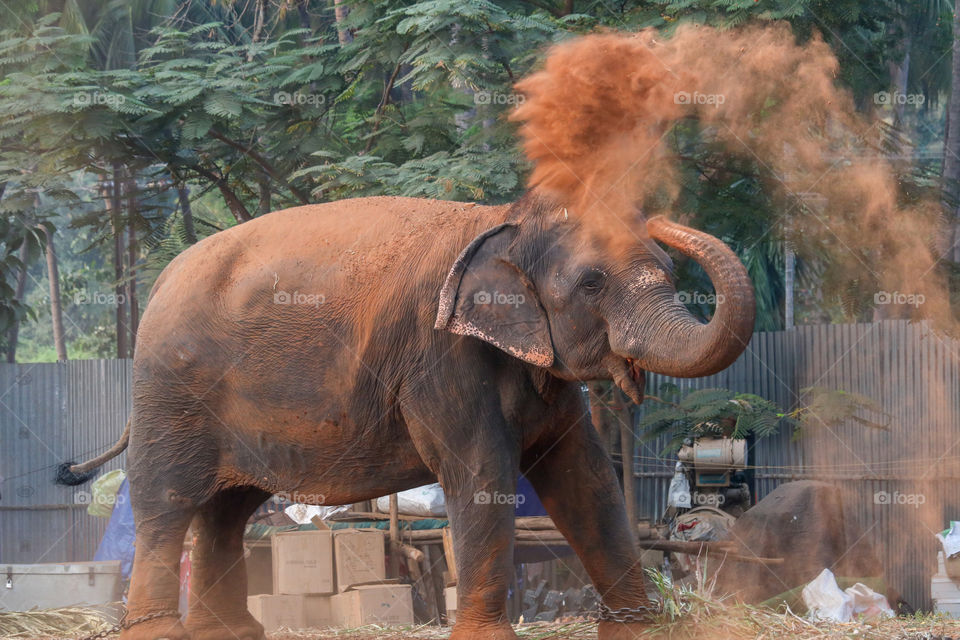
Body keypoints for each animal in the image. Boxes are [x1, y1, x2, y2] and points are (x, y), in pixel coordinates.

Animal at [71, 191, 754, 640]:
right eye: (591, 283)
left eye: (667, 269)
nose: (661, 214)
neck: (504, 221)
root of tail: (159, 283)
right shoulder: (440, 356)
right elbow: (480, 472)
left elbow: (582, 475)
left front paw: (641, 631)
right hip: (171, 391)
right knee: (169, 503)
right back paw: (159, 633)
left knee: (226, 510)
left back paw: (230, 633)